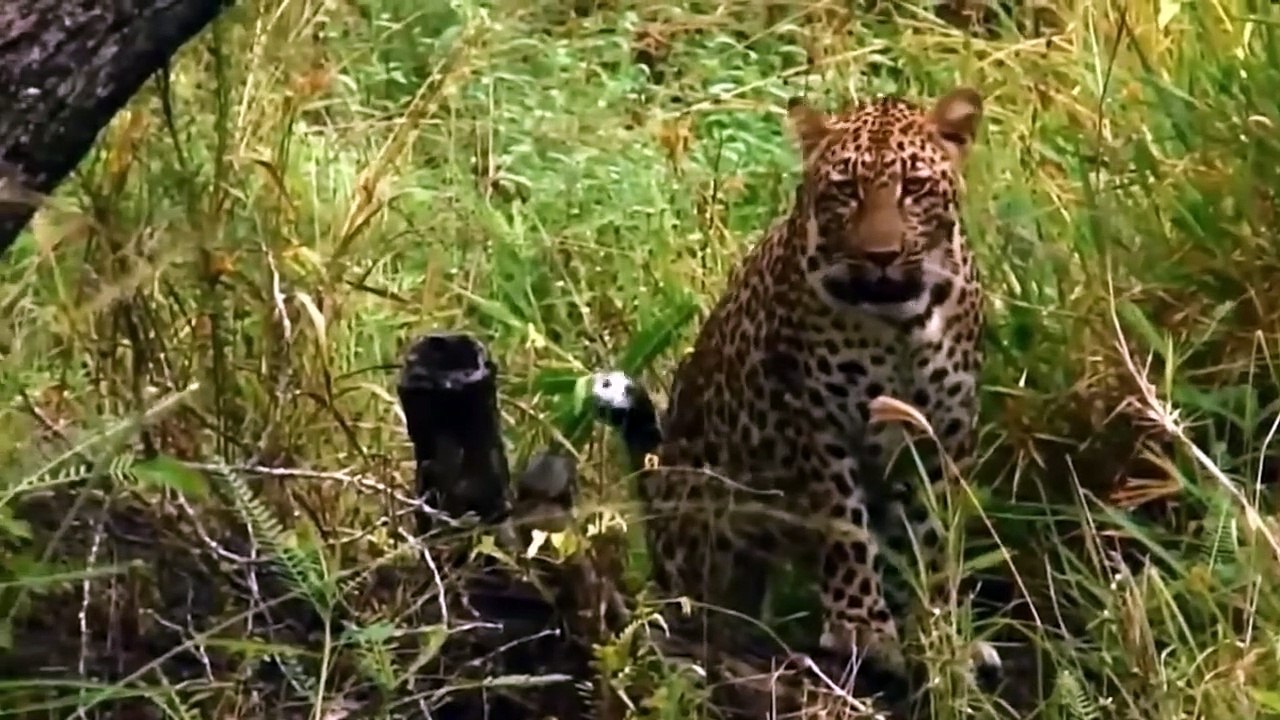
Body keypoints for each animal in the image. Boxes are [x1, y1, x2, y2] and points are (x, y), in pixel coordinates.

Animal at [592, 85, 998, 696]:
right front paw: (863, 631)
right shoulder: (816, 422)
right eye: (845, 190)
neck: (899, 321)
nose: (880, 256)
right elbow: (845, 529)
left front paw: (941, 632)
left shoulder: (943, 436)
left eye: (915, 187)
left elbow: (934, 542)